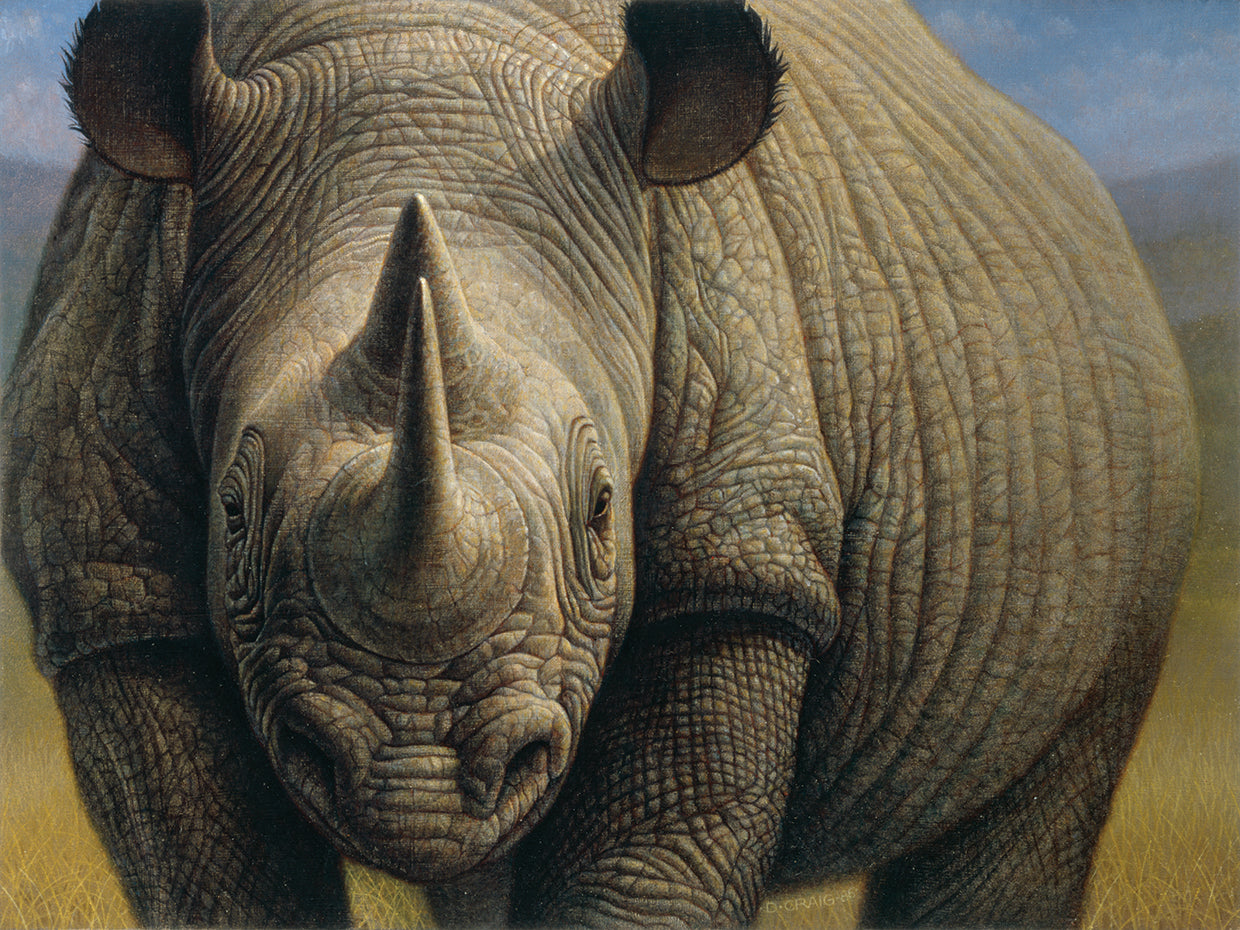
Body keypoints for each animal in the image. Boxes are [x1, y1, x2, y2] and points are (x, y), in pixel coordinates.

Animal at [2, 0, 1198, 926]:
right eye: (236, 512)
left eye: (601, 511)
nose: (420, 777)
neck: (415, 42)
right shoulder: (108, 579)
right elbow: (215, 877)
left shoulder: (741, 555)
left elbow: (646, 867)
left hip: (1120, 427)